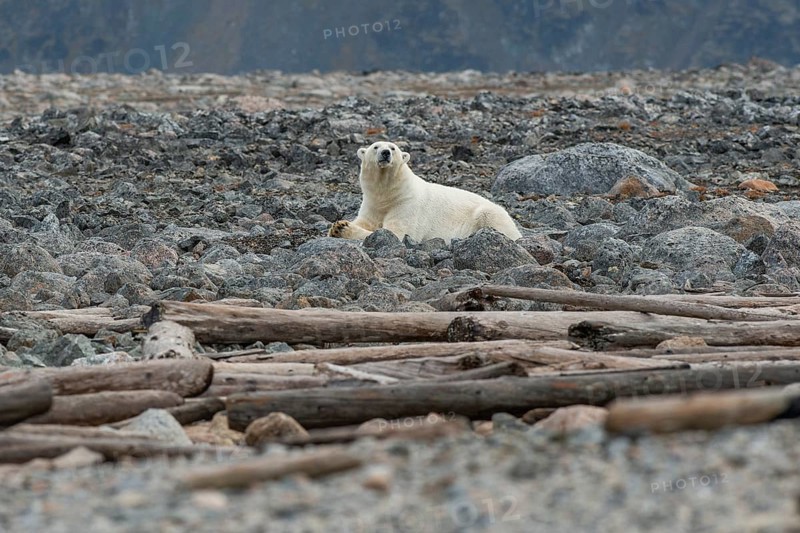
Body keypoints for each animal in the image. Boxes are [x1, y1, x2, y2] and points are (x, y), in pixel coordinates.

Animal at [328, 141, 522, 243]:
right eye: (375, 146)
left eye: (393, 148)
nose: (385, 153)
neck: (388, 194)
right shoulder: (372, 204)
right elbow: (365, 222)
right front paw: (336, 226)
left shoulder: (407, 204)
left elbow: (394, 233)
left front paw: (343, 227)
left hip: (490, 213)